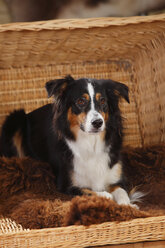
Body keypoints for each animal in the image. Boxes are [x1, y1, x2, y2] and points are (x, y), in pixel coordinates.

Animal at [0, 76, 142, 207]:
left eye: (103, 101)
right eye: (81, 101)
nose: (98, 123)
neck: (91, 142)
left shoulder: (117, 178)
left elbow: (122, 194)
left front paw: (128, 206)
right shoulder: (66, 185)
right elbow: (93, 192)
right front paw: (107, 197)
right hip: (15, 119)